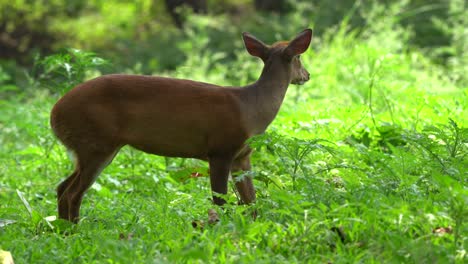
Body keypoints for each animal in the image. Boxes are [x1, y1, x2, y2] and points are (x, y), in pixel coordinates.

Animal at [51, 28, 312, 223]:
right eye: (299, 57)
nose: (307, 75)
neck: (252, 110)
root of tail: (54, 115)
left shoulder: (242, 155)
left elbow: (251, 201)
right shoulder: (220, 150)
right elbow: (221, 200)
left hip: (91, 147)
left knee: (61, 187)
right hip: (96, 142)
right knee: (72, 194)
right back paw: (73, 232)